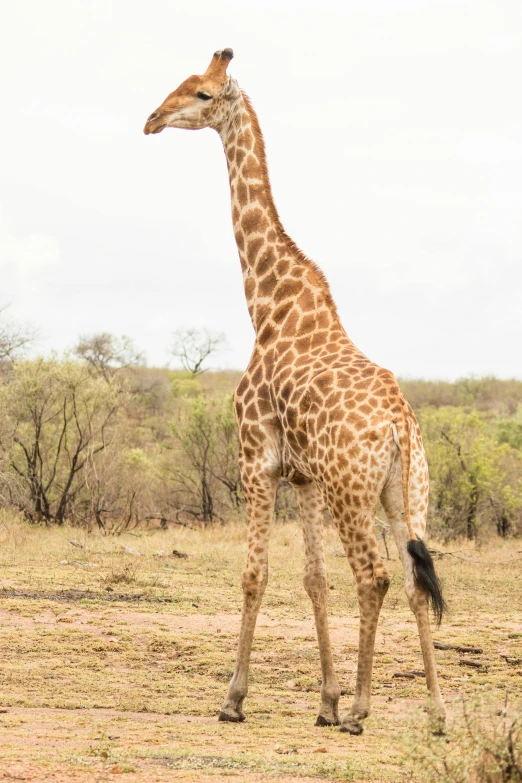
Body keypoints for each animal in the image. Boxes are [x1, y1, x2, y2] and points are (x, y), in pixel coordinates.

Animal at [144, 47, 444, 736]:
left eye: (201, 94)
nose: (152, 119)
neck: (269, 307)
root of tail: (400, 426)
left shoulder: (255, 458)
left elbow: (254, 574)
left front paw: (235, 699)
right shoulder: (303, 477)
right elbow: (313, 579)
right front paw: (324, 701)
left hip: (351, 490)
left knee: (375, 576)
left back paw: (363, 710)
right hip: (404, 493)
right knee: (415, 577)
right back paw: (437, 713)